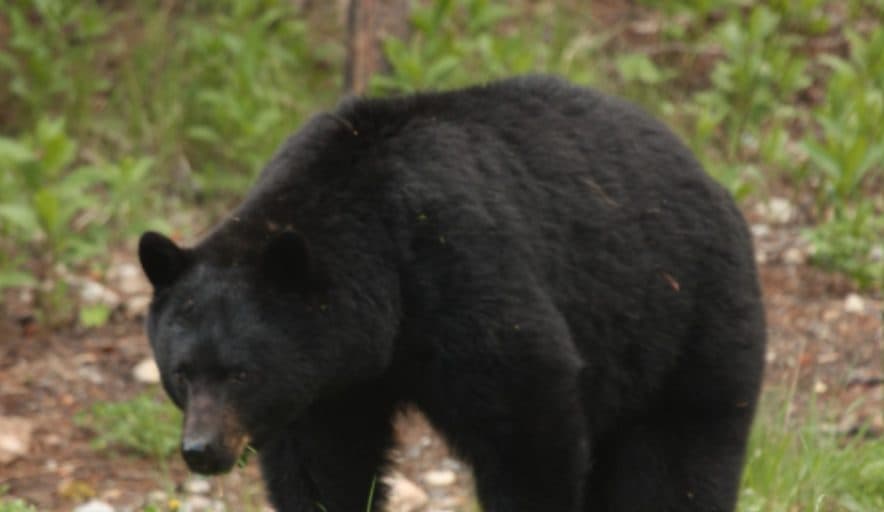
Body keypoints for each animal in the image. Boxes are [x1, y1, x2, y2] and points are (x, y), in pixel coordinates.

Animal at [138, 75, 766, 512]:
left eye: (242, 372)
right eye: (182, 373)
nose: (201, 450)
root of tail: (707, 175)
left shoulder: (457, 268)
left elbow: (526, 421)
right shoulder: (328, 383)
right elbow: (322, 465)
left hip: (688, 319)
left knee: (680, 460)